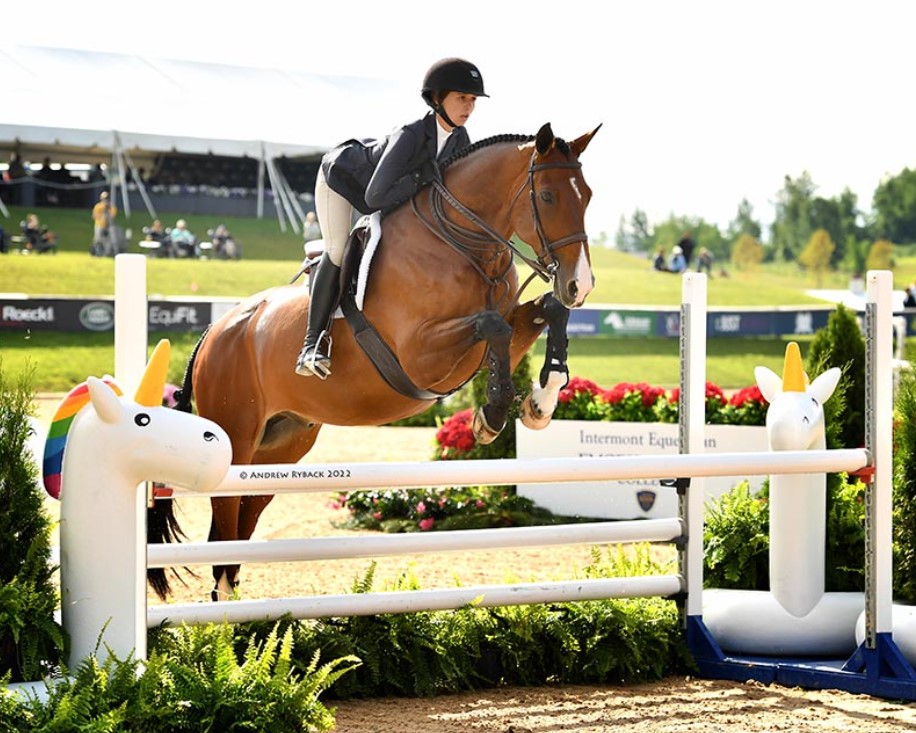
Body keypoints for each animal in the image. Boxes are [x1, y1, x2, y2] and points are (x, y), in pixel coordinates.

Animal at [163, 121, 600, 600]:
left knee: (238, 528)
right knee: (224, 527)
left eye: (588, 196)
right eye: (548, 197)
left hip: (281, 446)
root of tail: (213, 332)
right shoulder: (420, 357)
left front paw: (540, 403)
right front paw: (492, 416)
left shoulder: (497, 328)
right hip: (235, 439)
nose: (580, 285)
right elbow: (493, 326)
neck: (464, 244)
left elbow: (546, 312)